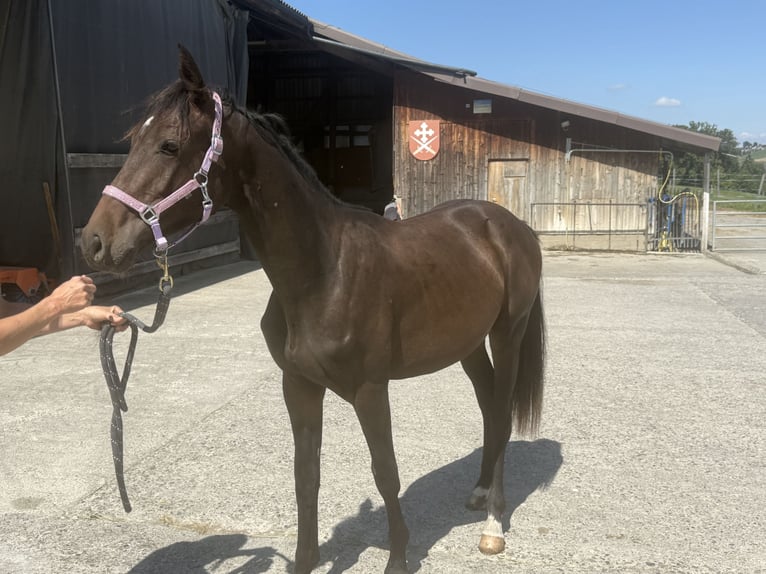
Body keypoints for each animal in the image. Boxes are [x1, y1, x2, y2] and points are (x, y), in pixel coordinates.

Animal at [81, 47, 546, 574]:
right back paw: (480, 493)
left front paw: (399, 557)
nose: (94, 242)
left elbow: (385, 472)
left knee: (503, 414)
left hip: (508, 334)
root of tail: (507, 224)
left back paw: (493, 524)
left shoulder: (370, 389)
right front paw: (305, 559)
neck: (323, 272)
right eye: (133, 139)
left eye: (168, 145)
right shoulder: (298, 385)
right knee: (489, 407)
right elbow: (306, 476)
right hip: (468, 344)